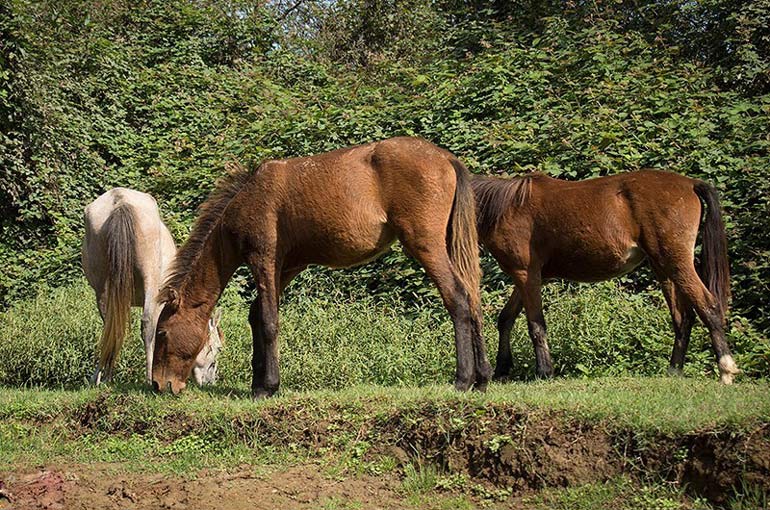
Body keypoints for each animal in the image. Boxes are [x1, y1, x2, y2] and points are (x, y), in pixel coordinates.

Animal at [83, 189, 224, 384]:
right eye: (216, 348)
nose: (210, 382)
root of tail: (120, 200)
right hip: (150, 280)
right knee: (147, 325)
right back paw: (149, 378)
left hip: (103, 287)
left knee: (111, 327)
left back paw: (103, 378)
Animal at [150, 137, 492, 396]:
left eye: (163, 333)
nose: (158, 384)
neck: (247, 199)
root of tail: (446, 158)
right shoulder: (286, 266)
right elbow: (257, 315)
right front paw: (257, 383)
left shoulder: (263, 258)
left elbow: (268, 320)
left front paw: (268, 386)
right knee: (473, 299)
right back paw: (483, 378)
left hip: (426, 245)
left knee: (458, 299)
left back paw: (463, 379)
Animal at [472, 169, 740, 384]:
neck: (507, 207)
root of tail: (691, 184)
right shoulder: (527, 277)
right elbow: (505, 318)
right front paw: (502, 369)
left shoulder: (526, 274)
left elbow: (536, 325)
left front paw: (544, 372)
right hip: (664, 269)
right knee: (683, 318)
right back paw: (674, 370)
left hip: (677, 263)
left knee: (708, 306)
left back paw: (726, 369)